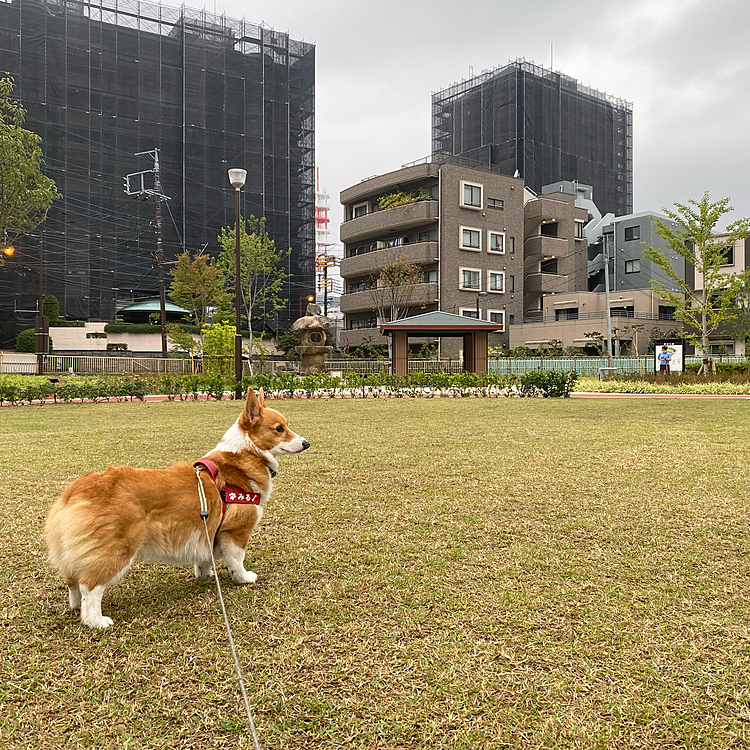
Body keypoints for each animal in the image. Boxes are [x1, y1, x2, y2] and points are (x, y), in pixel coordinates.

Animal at [44, 388, 310, 628]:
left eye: (287, 426)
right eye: (280, 429)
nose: (307, 443)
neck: (246, 453)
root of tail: (76, 490)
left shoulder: (208, 530)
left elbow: (205, 558)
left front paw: (206, 575)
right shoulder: (236, 531)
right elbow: (237, 560)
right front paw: (243, 578)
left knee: (73, 581)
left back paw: (76, 607)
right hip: (117, 549)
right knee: (90, 587)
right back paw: (96, 621)